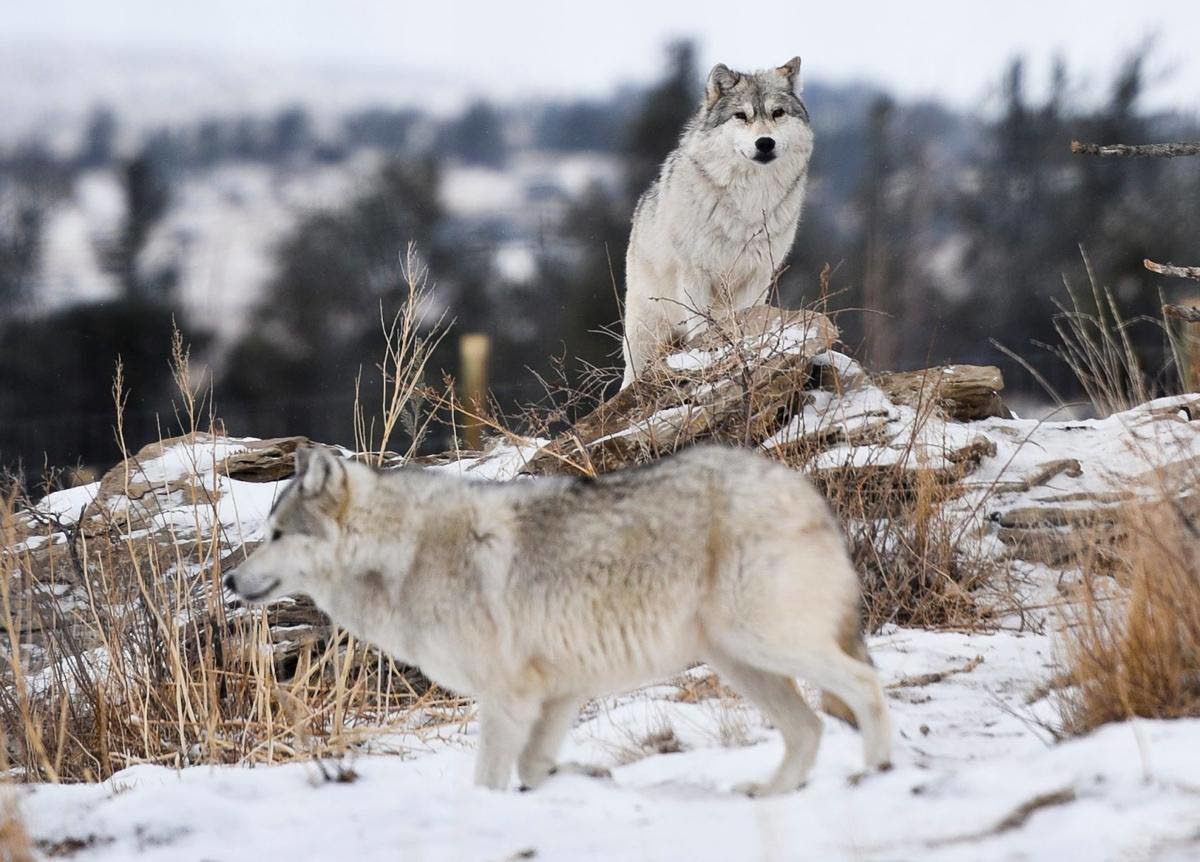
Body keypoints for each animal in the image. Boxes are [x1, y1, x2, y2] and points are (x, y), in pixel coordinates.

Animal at [226, 445, 891, 796]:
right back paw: (773, 793)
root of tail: (804, 490)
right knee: (809, 727)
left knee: (865, 687)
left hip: (763, 645)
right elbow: (534, 766)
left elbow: (492, 777)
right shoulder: (560, 690)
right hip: (741, 661)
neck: (403, 553)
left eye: (277, 535)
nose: (230, 582)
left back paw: (878, 771)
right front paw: (588, 775)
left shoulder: (508, 695)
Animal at [621, 57, 814, 388]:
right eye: (741, 116)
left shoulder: (758, 277)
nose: (765, 143)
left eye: (777, 113)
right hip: (644, 331)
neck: (751, 201)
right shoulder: (695, 277)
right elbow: (701, 329)